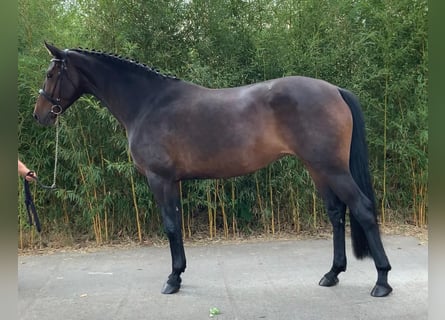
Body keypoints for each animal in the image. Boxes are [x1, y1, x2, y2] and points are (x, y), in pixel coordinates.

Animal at [33, 42, 390, 298]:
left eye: (50, 75)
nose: (39, 115)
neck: (148, 104)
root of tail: (335, 90)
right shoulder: (173, 181)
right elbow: (176, 225)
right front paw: (179, 273)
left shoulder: (160, 179)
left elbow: (170, 226)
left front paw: (172, 280)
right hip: (319, 169)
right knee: (336, 213)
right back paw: (332, 274)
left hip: (332, 169)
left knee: (362, 208)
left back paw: (382, 281)